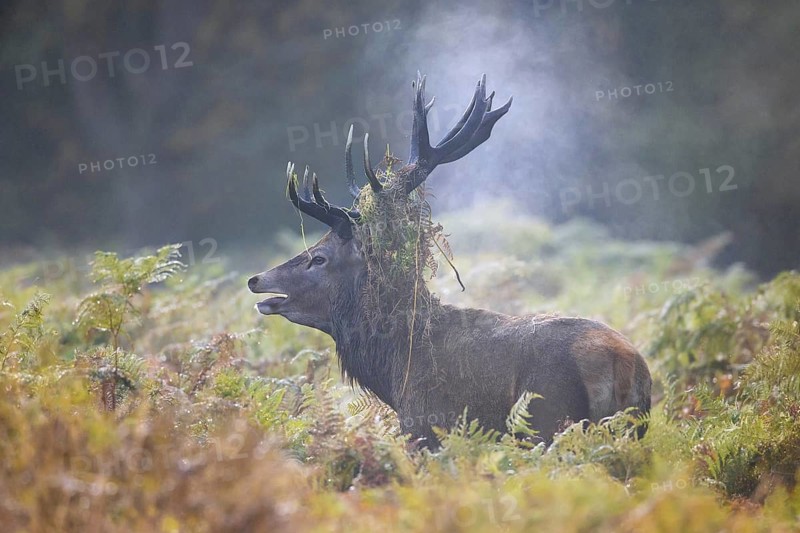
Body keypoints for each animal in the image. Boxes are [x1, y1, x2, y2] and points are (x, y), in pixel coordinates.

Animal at [248, 73, 652, 447]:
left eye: (319, 258)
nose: (256, 279)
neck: (394, 372)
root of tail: (625, 363)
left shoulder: (425, 429)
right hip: (633, 430)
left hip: (549, 421)